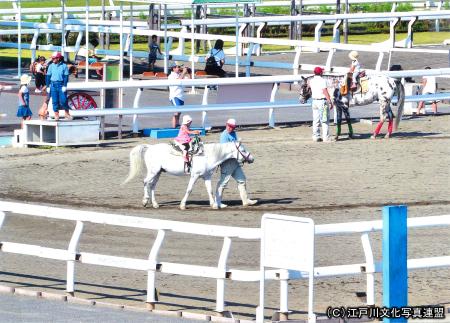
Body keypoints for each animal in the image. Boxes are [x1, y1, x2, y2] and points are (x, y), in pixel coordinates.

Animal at [123, 142, 255, 210]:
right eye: (243, 149)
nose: (252, 158)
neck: (207, 156)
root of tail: (150, 147)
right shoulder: (194, 176)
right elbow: (189, 189)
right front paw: (182, 205)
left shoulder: (206, 176)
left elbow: (210, 190)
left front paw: (214, 205)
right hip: (153, 172)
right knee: (145, 182)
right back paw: (145, 201)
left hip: (158, 172)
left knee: (152, 186)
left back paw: (155, 204)